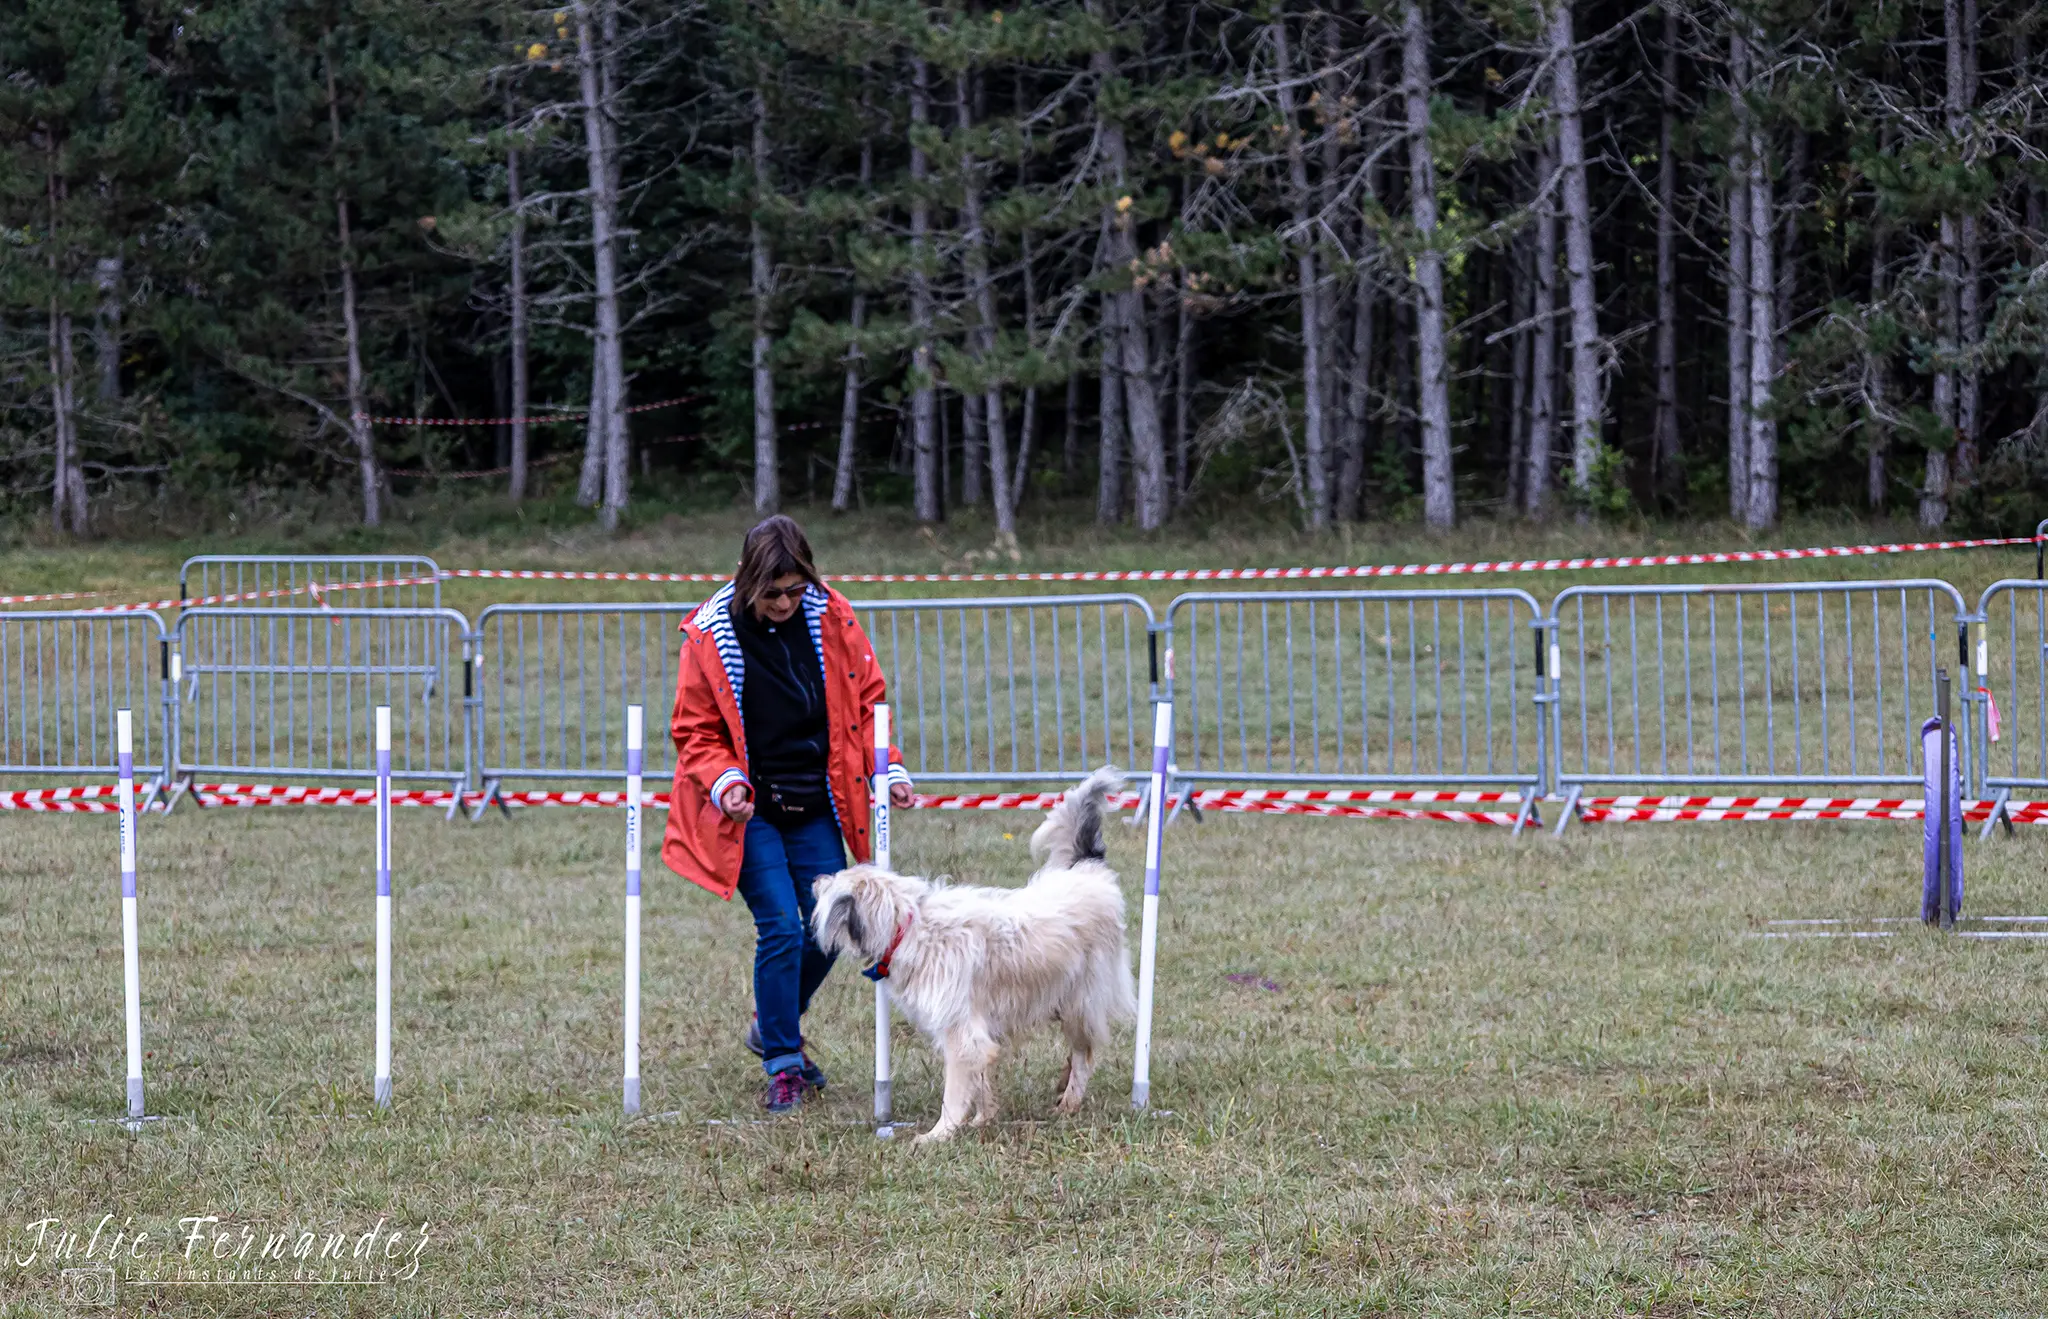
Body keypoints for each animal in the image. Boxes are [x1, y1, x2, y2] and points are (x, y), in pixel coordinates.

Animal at [811, 774, 1138, 1146]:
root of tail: (1088, 868)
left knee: (1085, 1054)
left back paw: (1069, 1101)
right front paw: (983, 1119)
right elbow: (980, 1080)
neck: (908, 926)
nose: (816, 879)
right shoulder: (973, 1030)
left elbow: (954, 1093)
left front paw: (939, 1134)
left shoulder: (959, 1031)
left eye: (833, 885)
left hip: (1079, 1001)